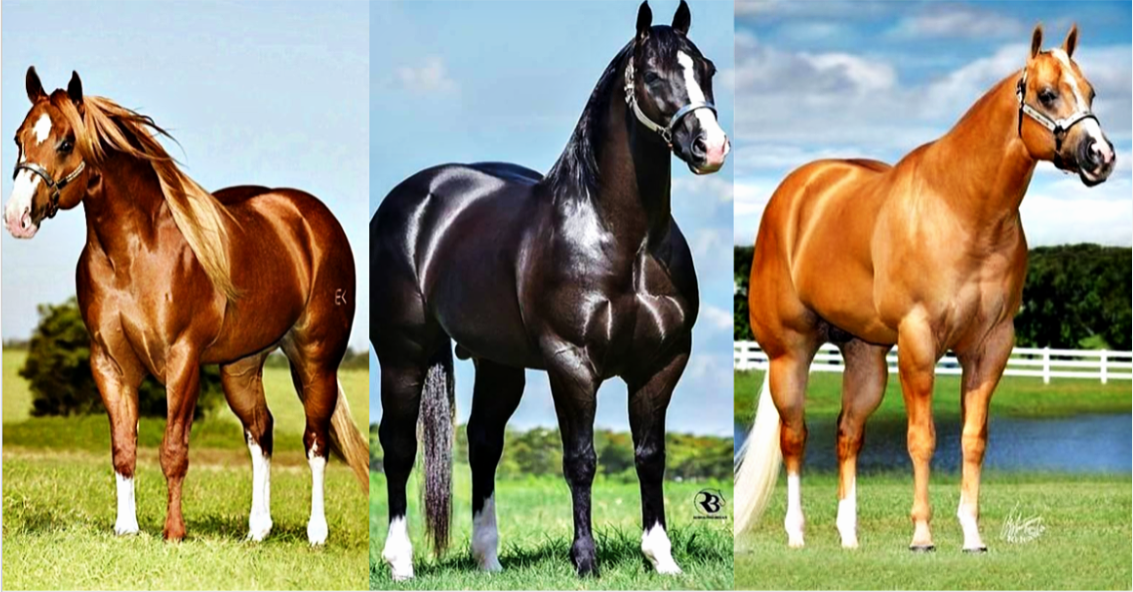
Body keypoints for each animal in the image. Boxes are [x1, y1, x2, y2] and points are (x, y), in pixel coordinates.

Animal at [4, 67, 370, 545]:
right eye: (19, 138)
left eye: (66, 142)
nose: (16, 217)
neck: (133, 252)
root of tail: (312, 219)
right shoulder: (110, 364)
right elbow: (124, 448)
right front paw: (126, 528)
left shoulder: (182, 360)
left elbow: (174, 450)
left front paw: (173, 532)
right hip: (241, 367)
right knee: (262, 431)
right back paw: (257, 530)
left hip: (316, 358)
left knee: (316, 440)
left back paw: (316, 533)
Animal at [372, 0, 728, 579]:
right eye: (653, 75)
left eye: (707, 69)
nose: (710, 147)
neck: (620, 236)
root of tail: (414, 197)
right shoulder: (571, 362)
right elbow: (580, 460)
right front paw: (585, 560)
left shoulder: (662, 362)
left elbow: (650, 457)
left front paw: (662, 557)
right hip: (403, 353)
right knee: (399, 446)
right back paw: (400, 560)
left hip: (499, 364)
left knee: (483, 442)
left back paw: (487, 558)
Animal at [735, 24, 1115, 552]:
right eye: (1047, 93)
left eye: (1092, 92)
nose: (1101, 157)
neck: (961, 208)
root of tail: (796, 193)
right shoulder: (918, 340)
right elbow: (922, 438)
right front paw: (921, 535)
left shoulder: (991, 345)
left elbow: (972, 439)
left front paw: (972, 535)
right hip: (788, 353)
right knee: (795, 436)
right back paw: (797, 534)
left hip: (865, 356)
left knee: (847, 433)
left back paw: (848, 536)